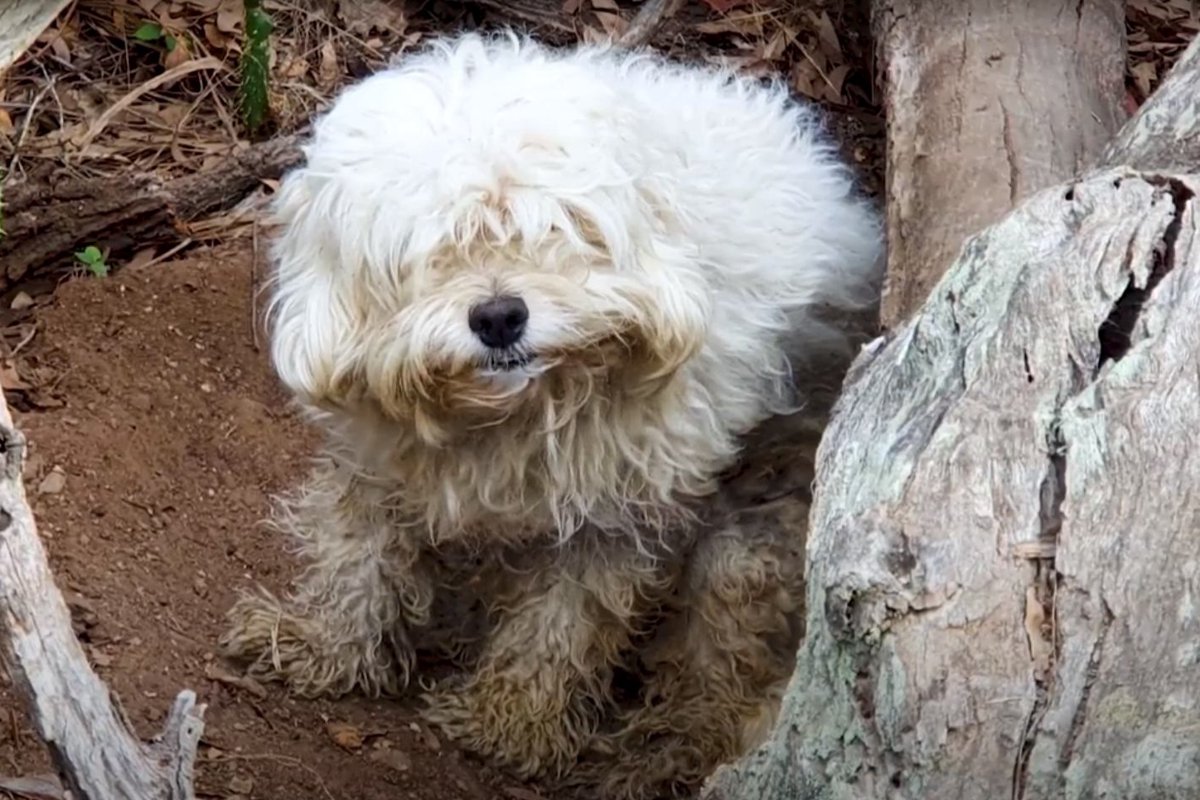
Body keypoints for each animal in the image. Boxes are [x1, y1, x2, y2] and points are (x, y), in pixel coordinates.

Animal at [223, 31, 883, 800]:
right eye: (433, 252)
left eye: (554, 232)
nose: (499, 317)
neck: (513, 413)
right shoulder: (375, 465)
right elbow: (357, 560)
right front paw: (319, 647)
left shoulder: (615, 514)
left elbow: (563, 623)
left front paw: (509, 724)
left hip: (744, 555)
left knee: (717, 692)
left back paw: (649, 759)